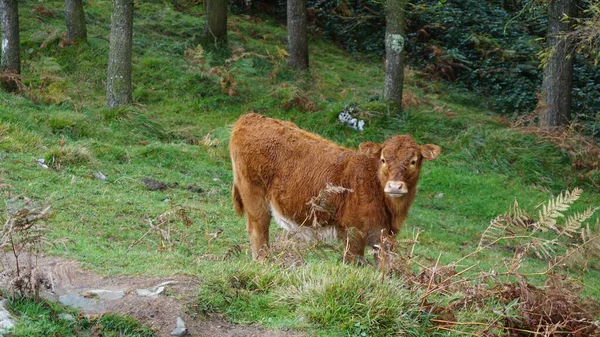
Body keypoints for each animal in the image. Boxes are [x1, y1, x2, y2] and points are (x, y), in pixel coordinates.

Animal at [230, 112, 440, 260]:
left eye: (413, 161)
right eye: (383, 159)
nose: (395, 186)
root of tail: (250, 117)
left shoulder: (384, 239)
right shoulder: (354, 235)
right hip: (255, 200)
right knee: (258, 233)